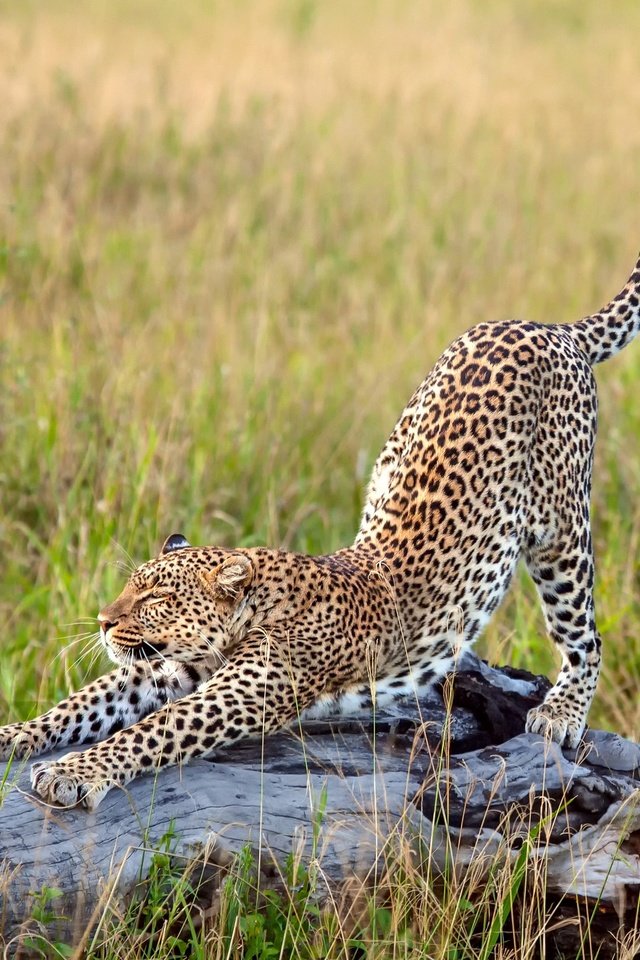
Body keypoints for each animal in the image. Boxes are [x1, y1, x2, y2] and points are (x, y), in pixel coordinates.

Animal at [3, 251, 640, 808]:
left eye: (156, 596)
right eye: (130, 585)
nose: (103, 621)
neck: (253, 608)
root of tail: (548, 326)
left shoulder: (238, 693)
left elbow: (151, 732)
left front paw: (74, 772)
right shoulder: (166, 669)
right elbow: (79, 704)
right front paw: (14, 735)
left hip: (561, 533)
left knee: (585, 637)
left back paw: (560, 713)